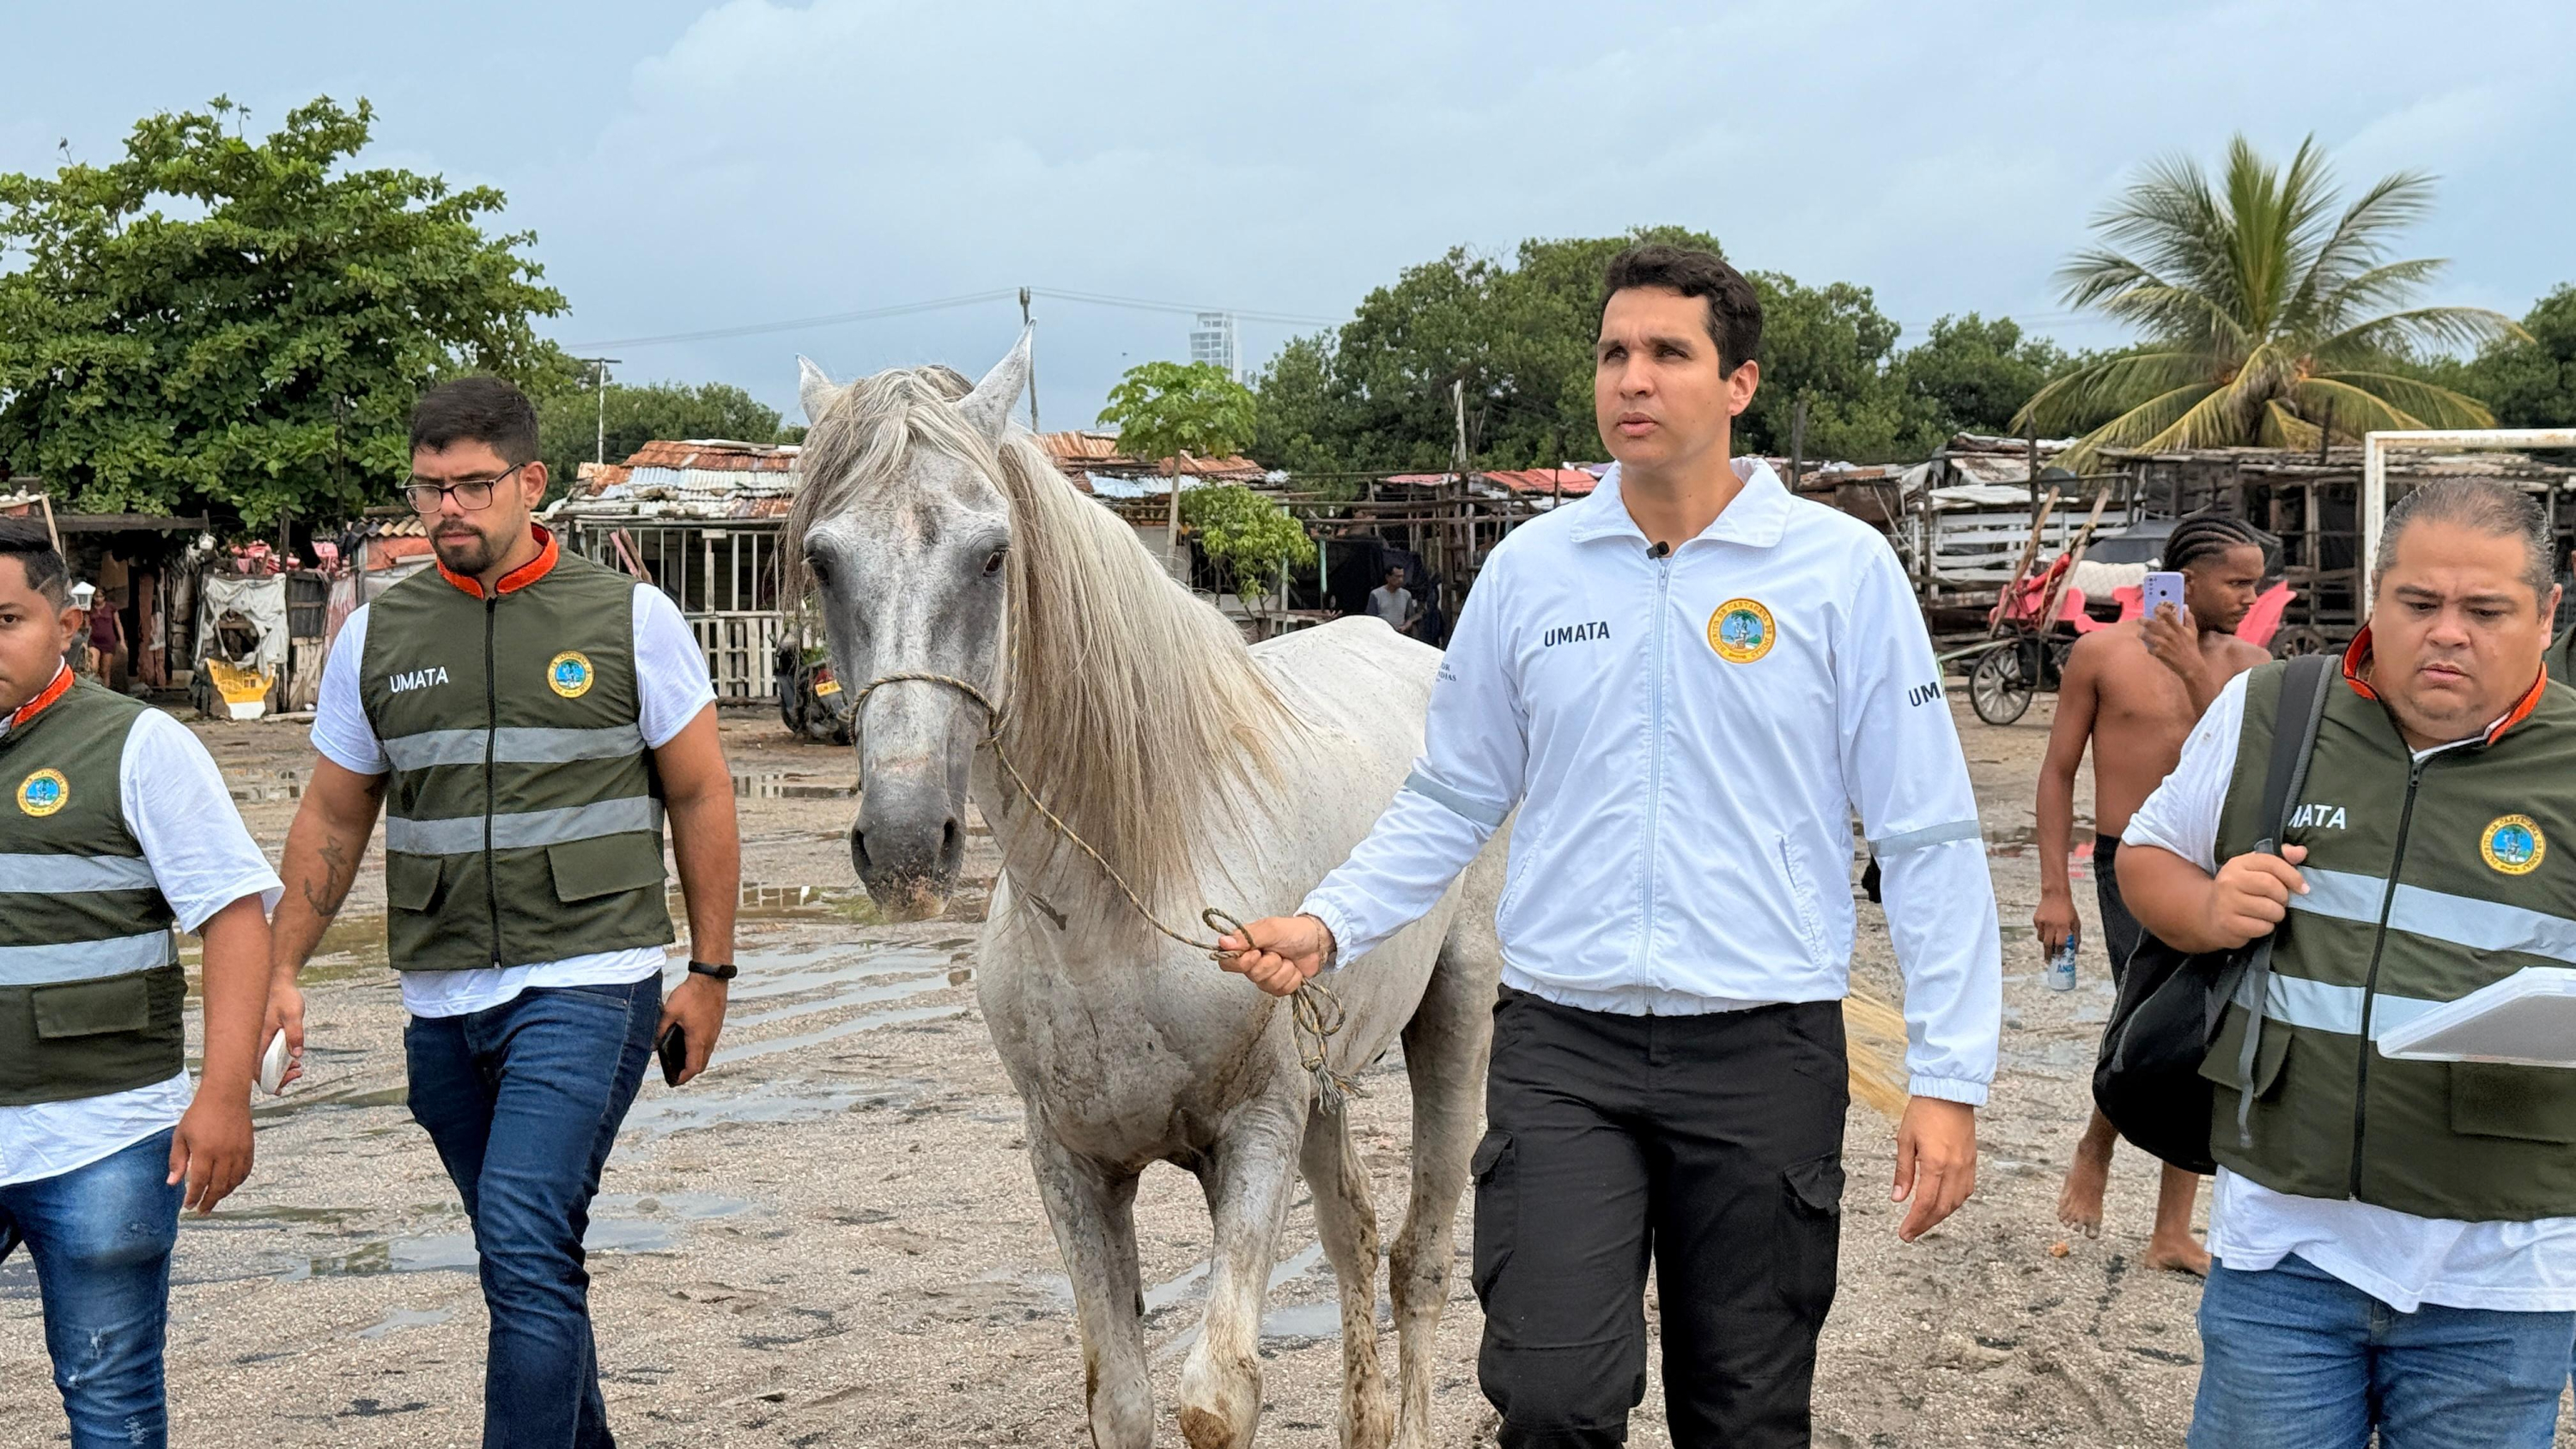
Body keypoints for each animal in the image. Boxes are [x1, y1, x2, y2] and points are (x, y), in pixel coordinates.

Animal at [786, 336, 1504, 1449]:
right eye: (823, 558)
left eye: (993, 555)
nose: (905, 845)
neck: (1111, 914)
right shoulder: (1073, 1163)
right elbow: (1120, 1399)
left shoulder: (1255, 1132)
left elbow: (1218, 1394)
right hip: (1327, 1084)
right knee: (1353, 1237)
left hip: (1454, 1020)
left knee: (1418, 1261)